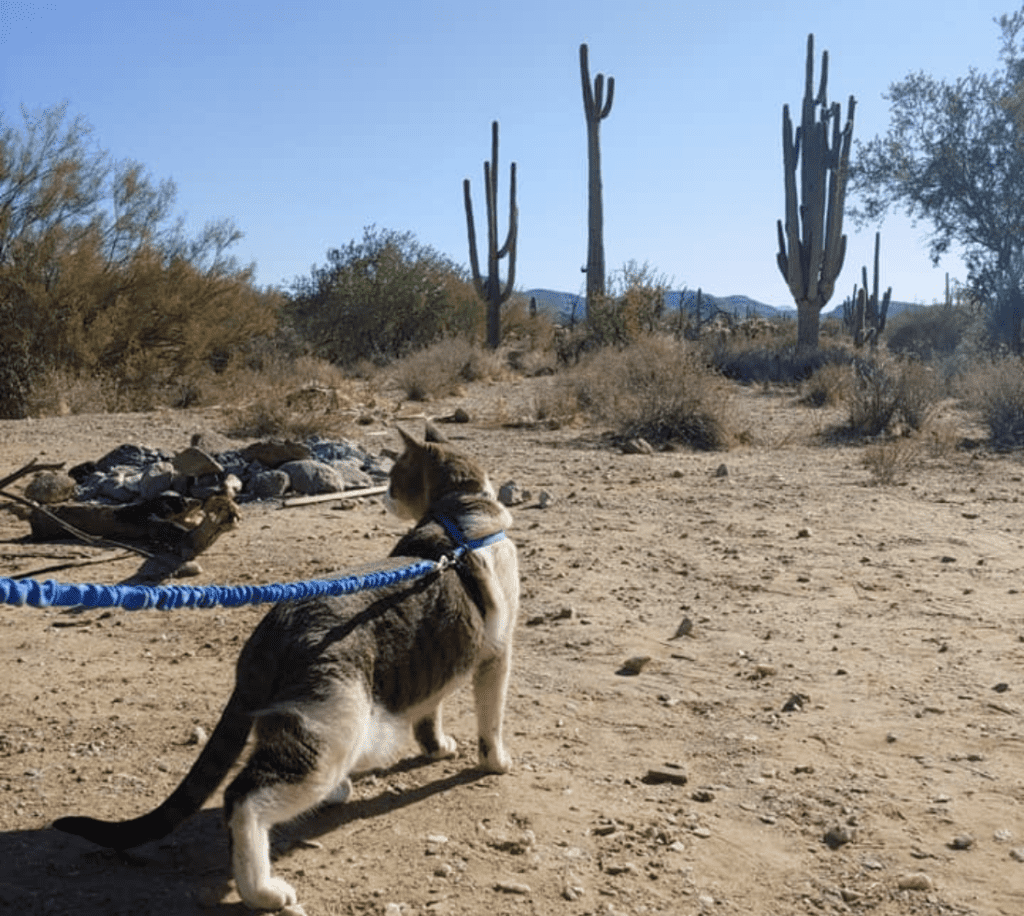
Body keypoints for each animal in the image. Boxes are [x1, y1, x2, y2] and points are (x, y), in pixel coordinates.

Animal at [54, 431, 520, 908]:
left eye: (394, 479)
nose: (385, 496)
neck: (459, 514)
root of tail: (274, 627)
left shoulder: (441, 651)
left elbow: (430, 709)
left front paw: (437, 746)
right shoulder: (496, 654)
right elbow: (491, 721)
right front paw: (495, 762)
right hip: (333, 728)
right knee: (244, 797)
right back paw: (262, 890)